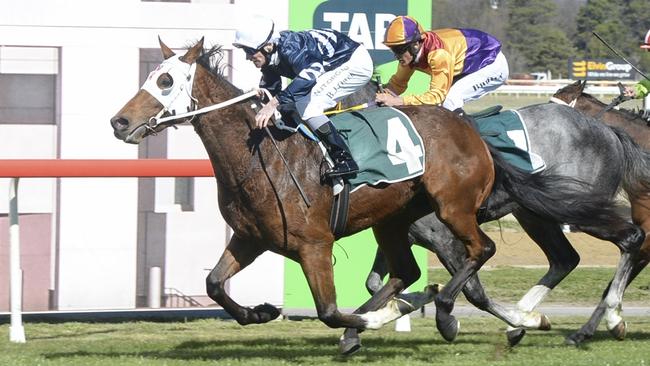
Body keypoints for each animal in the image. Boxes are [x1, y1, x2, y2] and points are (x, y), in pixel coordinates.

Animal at [111, 40, 628, 352]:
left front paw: (386, 321)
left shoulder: (314, 244)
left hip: (463, 210)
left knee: (490, 250)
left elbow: (330, 310)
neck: (262, 154)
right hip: (402, 219)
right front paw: (261, 311)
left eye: (165, 80)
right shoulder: (251, 238)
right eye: (152, 75)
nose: (119, 121)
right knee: (423, 270)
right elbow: (215, 285)